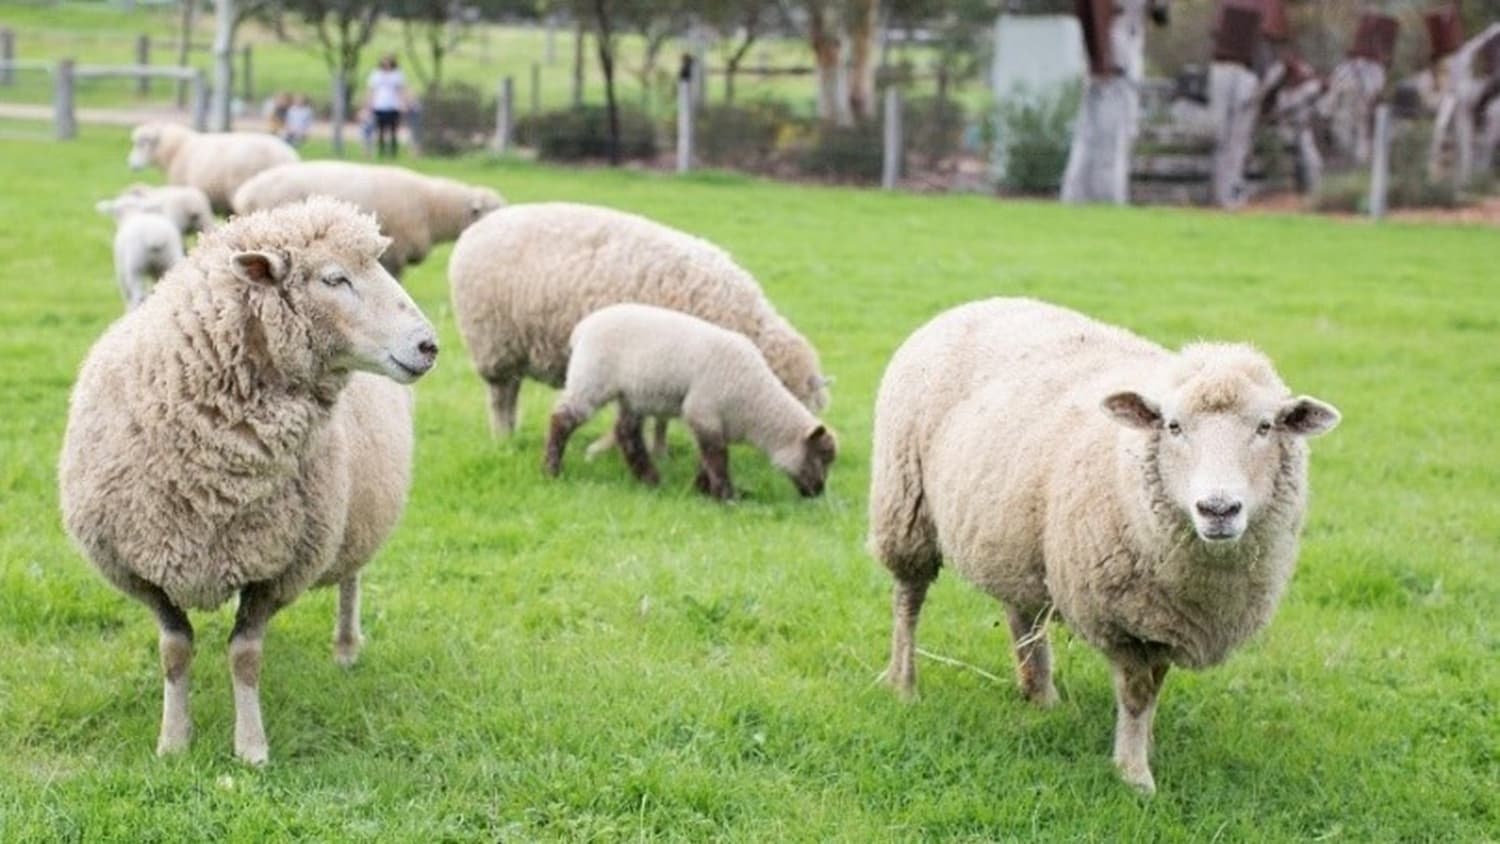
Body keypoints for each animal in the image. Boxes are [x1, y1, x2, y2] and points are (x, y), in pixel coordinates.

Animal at [59, 197, 440, 765]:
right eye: (334, 278)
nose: (428, 345)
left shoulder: (278, 569)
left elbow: (244, 656)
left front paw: (252, 748)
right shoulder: (140, 567)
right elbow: (175, 651)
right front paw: (174, 742)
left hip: (355, 516)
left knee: (351, 578)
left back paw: (347, 647)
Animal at [447, 202, 831, 444]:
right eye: (794, 399)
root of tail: (478, 227)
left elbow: (661, 418)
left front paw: (659, 450)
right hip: (495, 345)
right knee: (501, 398)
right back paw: (503, 439)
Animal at [544, 304, 837, 500]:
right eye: (821, 457)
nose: (818, 492)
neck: (754, 403)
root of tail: (583, 327)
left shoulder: (713, 420)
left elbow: (706, 457)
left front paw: (704, 490)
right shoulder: (703, 410)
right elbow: (717, 458)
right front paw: (728, 497)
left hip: (632, 394)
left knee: (627, 433)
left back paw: (650, 479)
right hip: (591, 378)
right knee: (562, 419)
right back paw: (551, 470)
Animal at [868, 298, 1341, 794]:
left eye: (1265, 427)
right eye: (1173, 426)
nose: (1218, 508)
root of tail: (974, 304)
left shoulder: (1166, 618)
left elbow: (1157, 683)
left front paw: (1147, 744)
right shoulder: (1122, 618)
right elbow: (1137, 692)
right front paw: (1134, 774)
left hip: (1019, 538)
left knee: (1023, 614)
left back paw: (1041, 695)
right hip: (905, 506)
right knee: (908, 600)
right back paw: (903, 684)